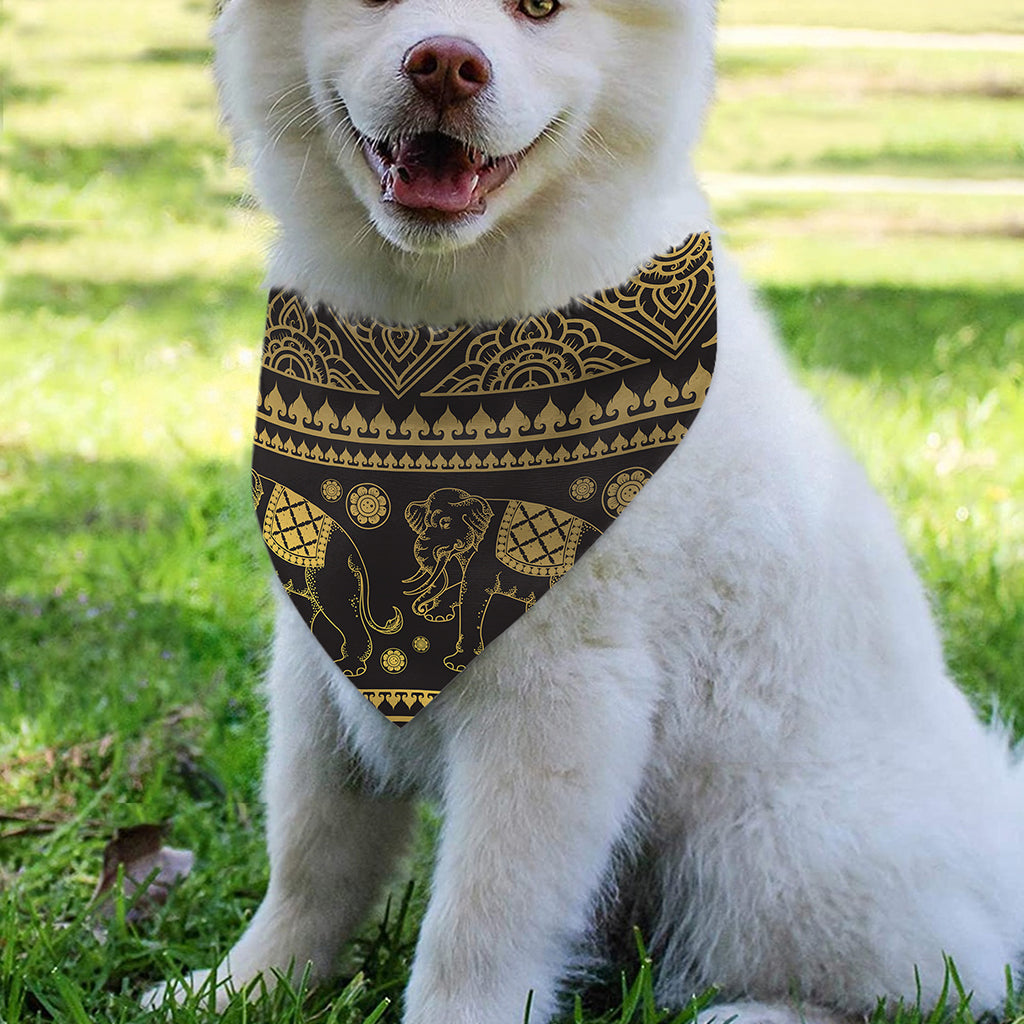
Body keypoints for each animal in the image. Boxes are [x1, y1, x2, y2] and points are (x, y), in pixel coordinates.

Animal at [403, 487, 600, 671]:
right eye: (425, 524)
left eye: (445, 523)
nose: (421, 609)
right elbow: (463, 585)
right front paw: (436, 615)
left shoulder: (486, 555)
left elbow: (471, 592)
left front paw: (453, 664)